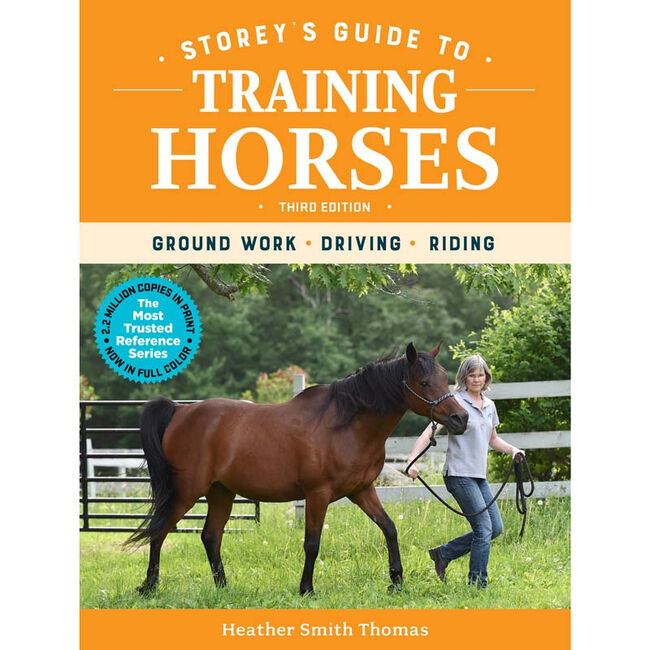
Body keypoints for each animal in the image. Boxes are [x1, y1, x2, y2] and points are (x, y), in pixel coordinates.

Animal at [128, 342, 468, 595]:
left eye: (445, 379)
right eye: (424, 382)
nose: (460, 419)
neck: (346, 424)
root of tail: (179, 411)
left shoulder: (361, 490)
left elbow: (389, 528)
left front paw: (396, 581)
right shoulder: (317, 495)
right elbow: (312, 543)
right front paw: (307, 588)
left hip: (221, 493)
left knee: (211, 537)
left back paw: (223, 587)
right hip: (187, 492)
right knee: (159, 531)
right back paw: (150, 586)